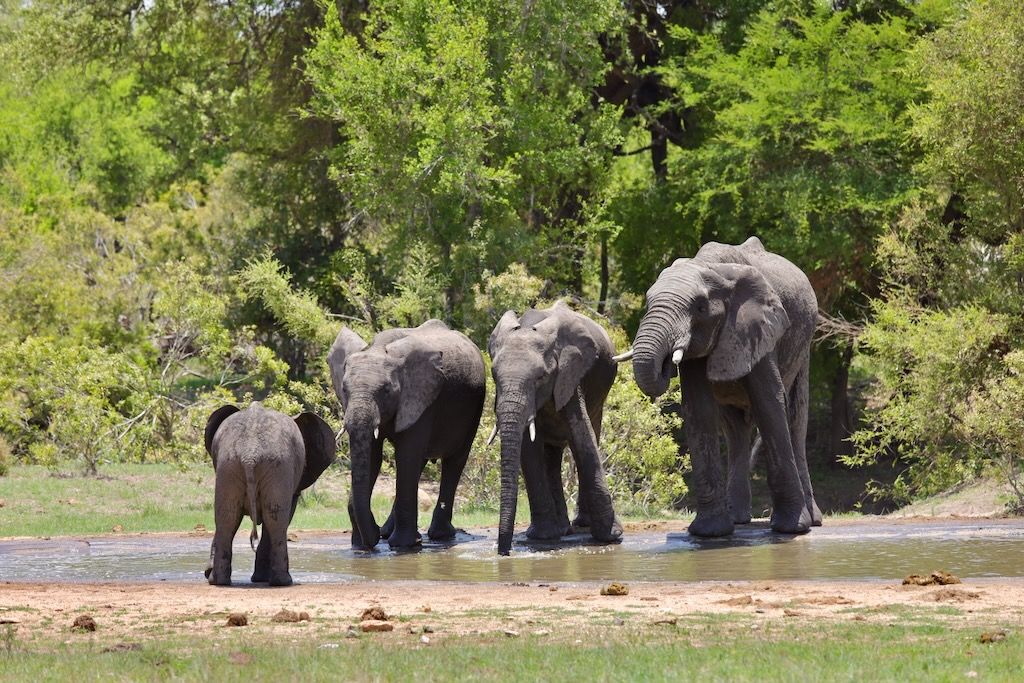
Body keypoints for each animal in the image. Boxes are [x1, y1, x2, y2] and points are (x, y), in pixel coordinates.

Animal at [203, 402, 336, 586]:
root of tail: (249, 454)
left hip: (229, 464)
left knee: (227, 517)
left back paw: (218, 581)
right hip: (277, 466)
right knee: (276, 520)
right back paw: (283, 581)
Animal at [327, 319, 486, 550]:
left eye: (385, 390)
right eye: (344, 390)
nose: (372, 536)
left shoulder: (421, 399)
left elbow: (407, 455)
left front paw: (405, 545)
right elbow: (374, 457)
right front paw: (361, 545)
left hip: (474, 408)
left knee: (454, 461)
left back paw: (440, 535)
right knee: (420, 464)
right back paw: (387, 533)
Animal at [489, 300, 623, 555]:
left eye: (541, 377)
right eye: (494, 375)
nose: (504, 553)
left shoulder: (570, 374)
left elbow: (583, 437)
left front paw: (611, 537)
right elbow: (529, 450)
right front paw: (543, 537)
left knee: (591, 434)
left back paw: (581, 525)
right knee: (551, 455)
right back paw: (562, 530)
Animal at [619, 236, 821, 537]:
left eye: (700, 307)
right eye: (647, 304)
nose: (666, 363)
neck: (709, 268)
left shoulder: (757, 328)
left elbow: (769, 403)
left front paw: (791, 529)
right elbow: (698, 410)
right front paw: (709, 533)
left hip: (804, 344)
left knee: (796, 420)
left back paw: (813, 521)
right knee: (735, 428)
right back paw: (737, 519)